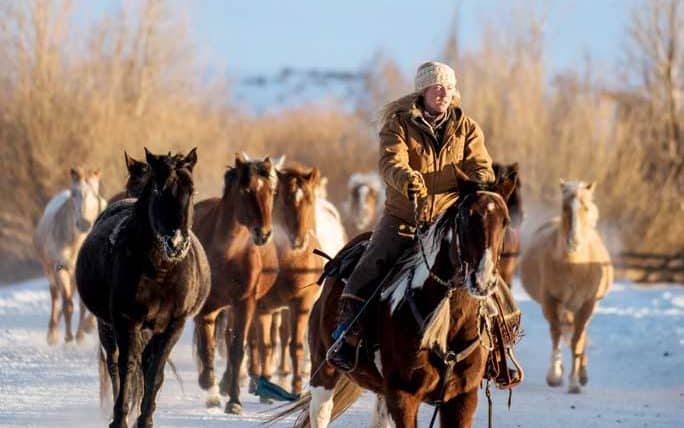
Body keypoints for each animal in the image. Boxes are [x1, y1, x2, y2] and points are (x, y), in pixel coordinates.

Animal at [33, 168, 107, 344]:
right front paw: (68, 339)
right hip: (49, 269)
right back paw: (52, 334)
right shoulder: (61, 268)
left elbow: (83, 305)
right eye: (74, 194)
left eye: (95, 193)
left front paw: (80, 335)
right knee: (55, 296)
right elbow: (68, 304)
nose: (85, 224)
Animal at [76, 149, 210, 426]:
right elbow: (127, 367)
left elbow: (154, 372)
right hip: (106, 326)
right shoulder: (126, 320)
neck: (160, 271)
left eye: (191, 190)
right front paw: (120, 419)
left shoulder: (173, 325)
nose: (177, 243)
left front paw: (145, 419)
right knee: (114, 364)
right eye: (158, 188)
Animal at [192, 154, 280, 414]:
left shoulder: (245, 302)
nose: (263, 233)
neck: (228, 253)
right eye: (246, 190)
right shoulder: (207, 307)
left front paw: (234, 401)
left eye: (272, 191)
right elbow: (207, 348)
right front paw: (209, 386)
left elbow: (238, 349)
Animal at [276, 171, 516, 428]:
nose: (482, 279)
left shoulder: (463, 398)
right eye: (465, 217)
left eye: (505, 221)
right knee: (321, 412)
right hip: (324, 372)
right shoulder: (403, 396)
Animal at [520, 179, 612, 392]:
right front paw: (555, 375)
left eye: (585, 207)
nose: (573, 242)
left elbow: (577, 340)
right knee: (563, 331)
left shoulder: (587, 304)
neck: (575, 265)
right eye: (565, 207)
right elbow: (556, 333)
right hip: (563, 307)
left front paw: (575, 382)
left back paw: (583, 374)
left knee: (579, 334)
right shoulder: (551, 300)